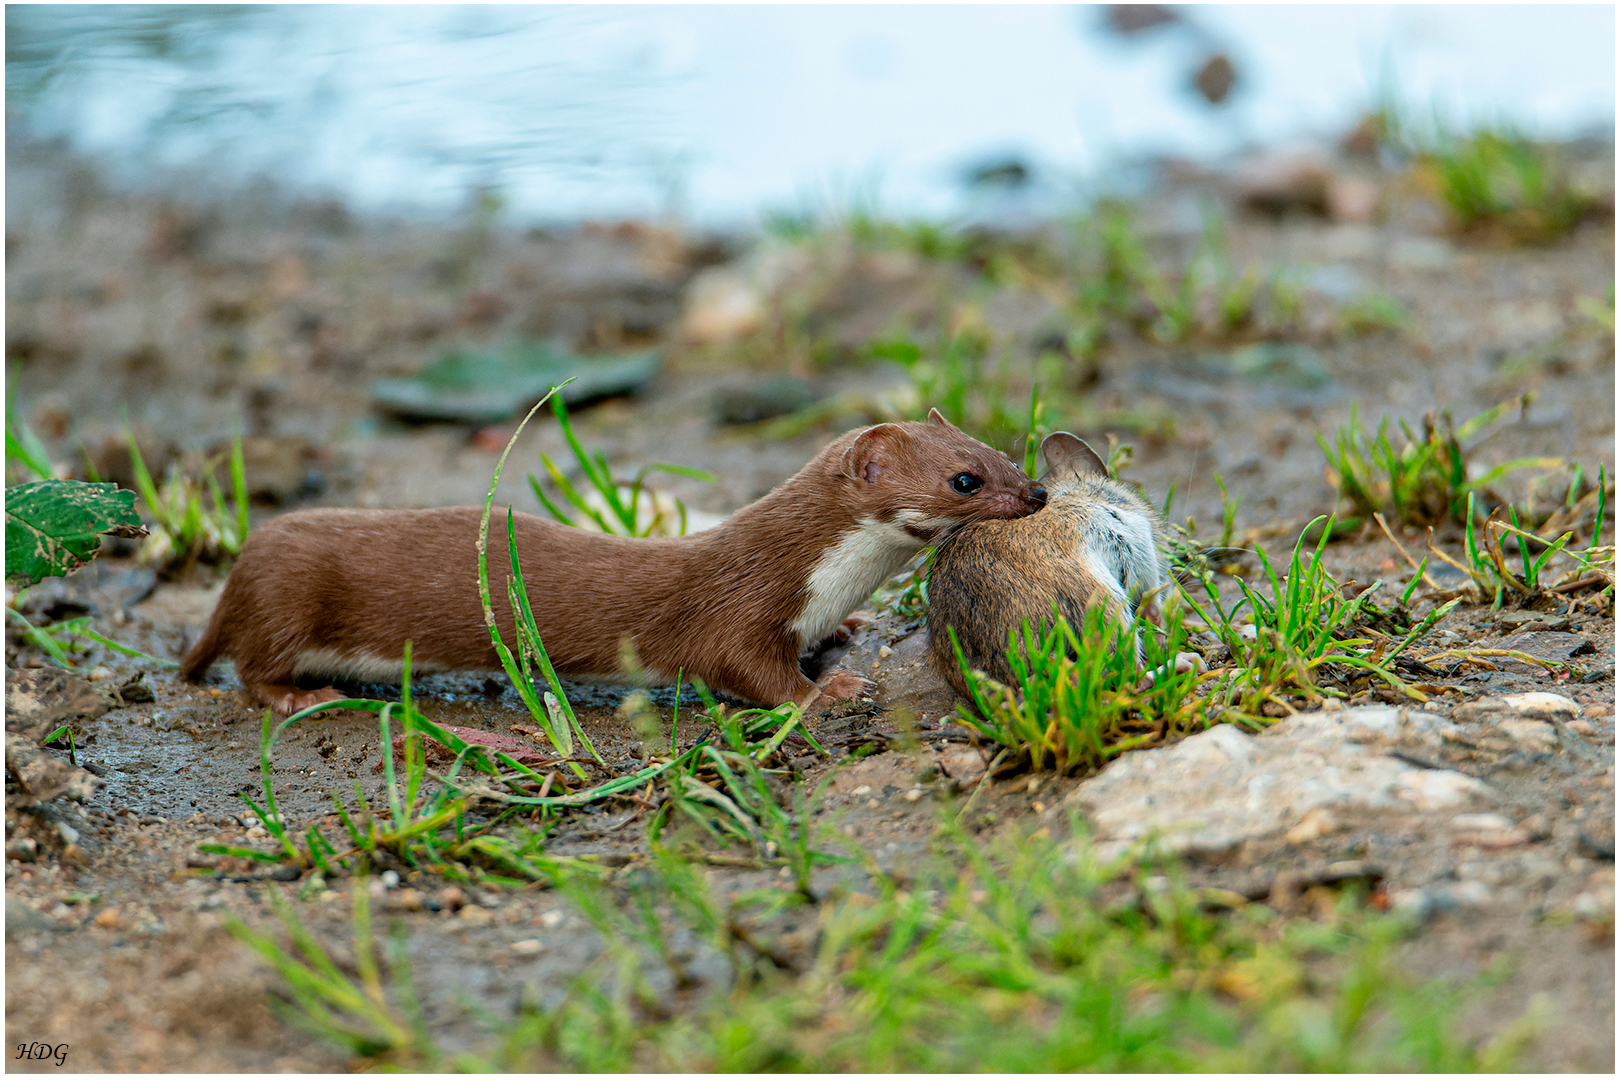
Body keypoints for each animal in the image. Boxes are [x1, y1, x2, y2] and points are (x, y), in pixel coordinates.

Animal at [180, 411, 1049, 718]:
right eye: (964, 479)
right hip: (288, 599)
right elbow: (745, 670)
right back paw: (303, 695)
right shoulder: (738, 609)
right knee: (249, 664)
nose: (1039, 491)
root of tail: (242, 566)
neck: (825, 578)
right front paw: (828, 690)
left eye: (999, 449)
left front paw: (847, 632)